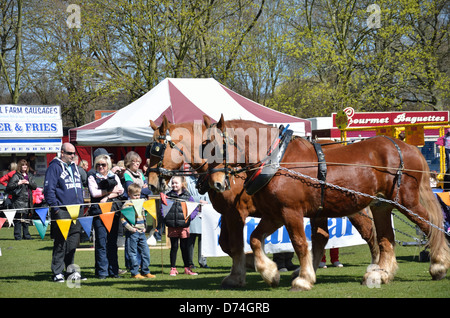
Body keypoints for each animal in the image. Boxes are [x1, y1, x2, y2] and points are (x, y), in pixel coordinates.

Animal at [148, 115, 380, 290]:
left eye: (157, 150)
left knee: (369, 234)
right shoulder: (229, 213)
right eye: (149, 150)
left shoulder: (236, 212)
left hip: (351, 208)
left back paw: (375, 269)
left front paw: (246, 272)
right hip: (320, 210)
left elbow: (235, 245)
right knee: (322, 238)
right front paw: (258, 266)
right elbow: (227, 244)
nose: (151, 184)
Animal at [207, 115, 450, 290]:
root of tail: (408, 148)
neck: (277, 161)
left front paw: (303, 279)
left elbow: (300, 244)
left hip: (406, 202)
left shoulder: (291, 212)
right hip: (381, 205)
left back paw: (438, 265)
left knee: (430, 226)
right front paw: (270, 273)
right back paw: (380, 275)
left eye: (217, 148)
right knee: (385, 240)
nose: (216, 183)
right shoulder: (275, 214)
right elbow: (255, 239)